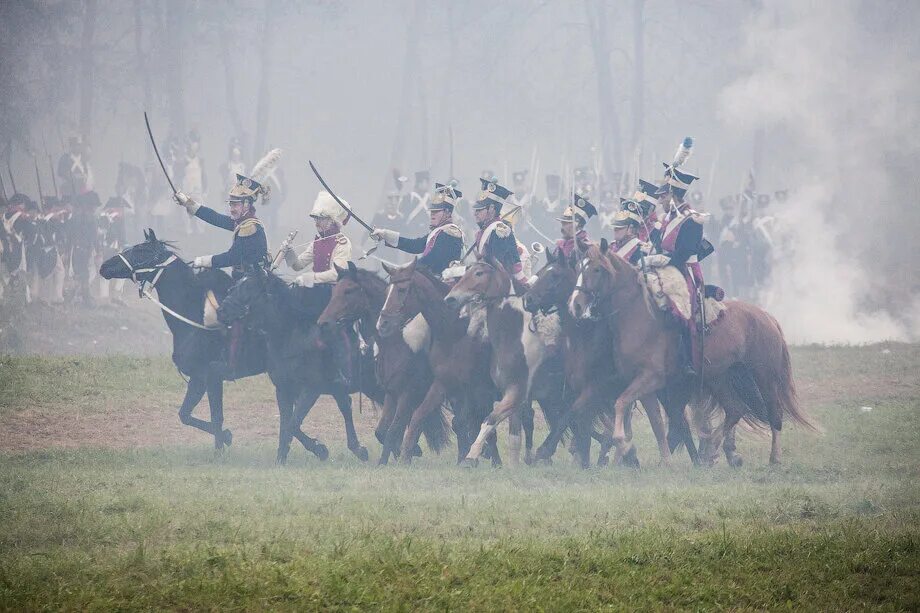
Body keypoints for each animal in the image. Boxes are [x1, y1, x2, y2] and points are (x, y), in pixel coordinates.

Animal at [99, 230, 266, 450]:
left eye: (142, 251)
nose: (104, 266)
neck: (195, 314)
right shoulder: (200, 379)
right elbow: (185, 415)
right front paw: (226, 437)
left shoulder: (206, 378)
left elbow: (214, 418)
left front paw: (223, 443)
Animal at [216, 266, 380, 462]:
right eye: (236, 285)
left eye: (249, 287)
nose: (221, 311)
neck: (293, 335)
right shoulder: (283, 389)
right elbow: (287, 424)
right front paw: (283, 458)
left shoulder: (311, 389)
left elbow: (292, 424)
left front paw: (319, 449)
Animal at [316, 262, 450, 464]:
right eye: (334, 291)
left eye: (349, 290)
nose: (323, 323)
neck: (396, 342)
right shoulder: (391, 393)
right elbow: (383, 432)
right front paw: (389, 460)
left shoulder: (407, 394)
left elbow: (395, 430)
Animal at [572, 239, 816, 464]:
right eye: (579, 267)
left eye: (597, 269)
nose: (575, 305)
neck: (637, 315)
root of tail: (767, 317)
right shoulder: (643, 385)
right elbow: (655, 422)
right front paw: (663, 460)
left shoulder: (651, 379)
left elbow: (622, 404)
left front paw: (624, 445)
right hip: (720, 378)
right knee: (735, 409)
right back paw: (712, 450)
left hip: (763, 376)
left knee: (774, 412)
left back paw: (773, 457)